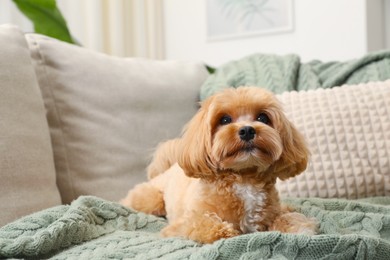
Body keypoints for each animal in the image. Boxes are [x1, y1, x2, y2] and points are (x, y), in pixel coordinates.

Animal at [120, 86, 318, 243]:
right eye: (224, 120)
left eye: (263, 117)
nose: (247, 130)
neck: (244, 177)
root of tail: (169, 168)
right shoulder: (185, 223)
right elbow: (207, 225)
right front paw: (228, 234)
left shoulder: (276, 211)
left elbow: (291, 217)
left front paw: (300, 228)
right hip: (151, 200)